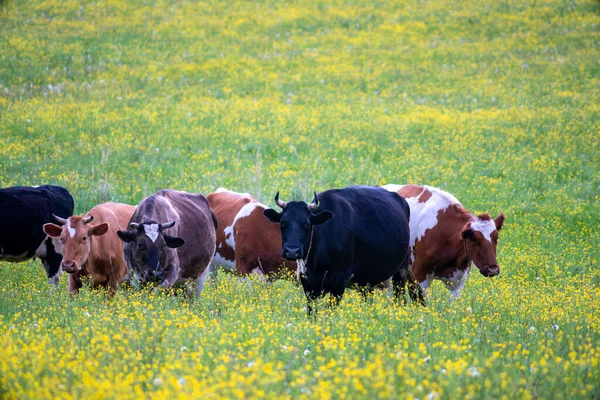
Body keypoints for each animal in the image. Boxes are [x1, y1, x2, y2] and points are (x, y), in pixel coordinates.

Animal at [264, 186, 412, 310]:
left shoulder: (339, 281)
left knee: (400, 297)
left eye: (306, 224)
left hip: (401, 271)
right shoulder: (307, 282)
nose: (292, 251)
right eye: (283, 223)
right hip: (367, 278)